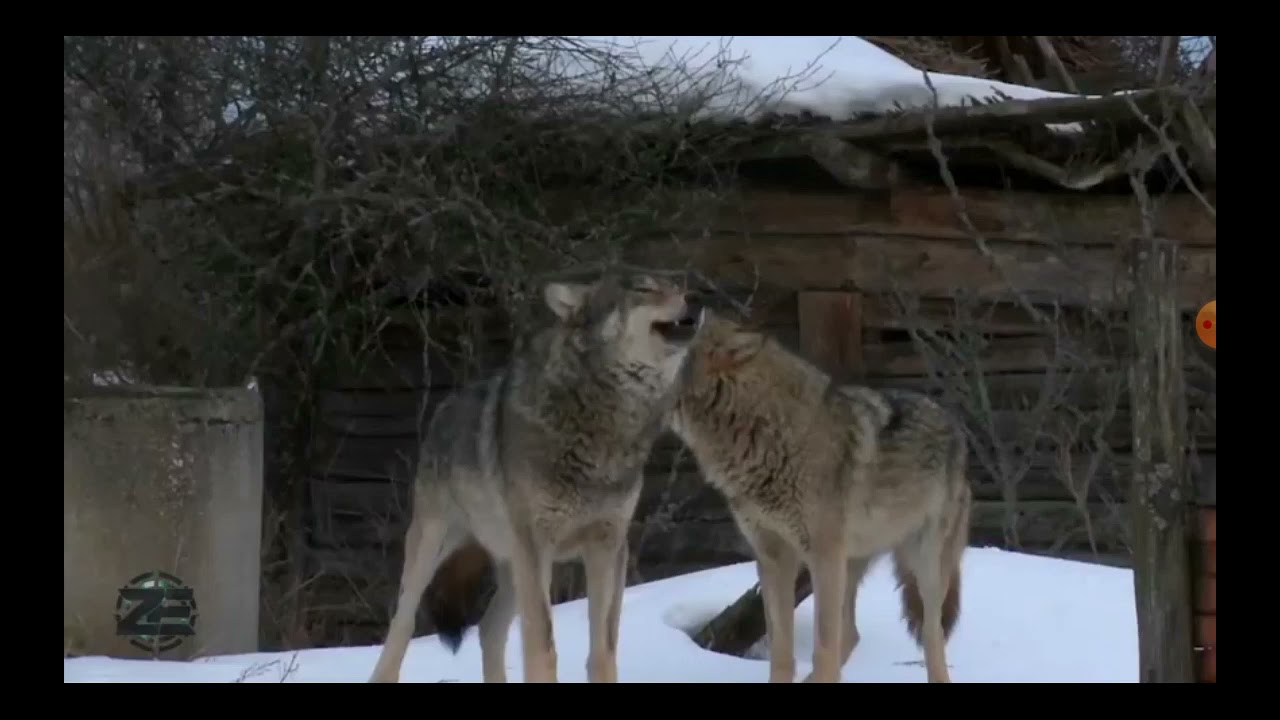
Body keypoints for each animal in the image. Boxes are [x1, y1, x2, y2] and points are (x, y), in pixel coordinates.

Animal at [367, 269, 704, 683]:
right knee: (402, 626)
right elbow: (543, 647)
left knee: (489, 629)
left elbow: (603, 650)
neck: (602, 426)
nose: (698, 298)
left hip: (513, 569)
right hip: (435, 548)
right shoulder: (537, 547)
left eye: (676, 286)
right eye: (644, 289)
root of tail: (444, 408)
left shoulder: (608, 547)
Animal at [666, 311, 972, 683]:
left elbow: (823, 648)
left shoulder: (822, 557)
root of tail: (954, 424)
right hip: (850, 565)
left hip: (921, 565)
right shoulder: (773, 559)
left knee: (931, 636)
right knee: (852, 634)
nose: (696, 313)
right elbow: (782, 652)